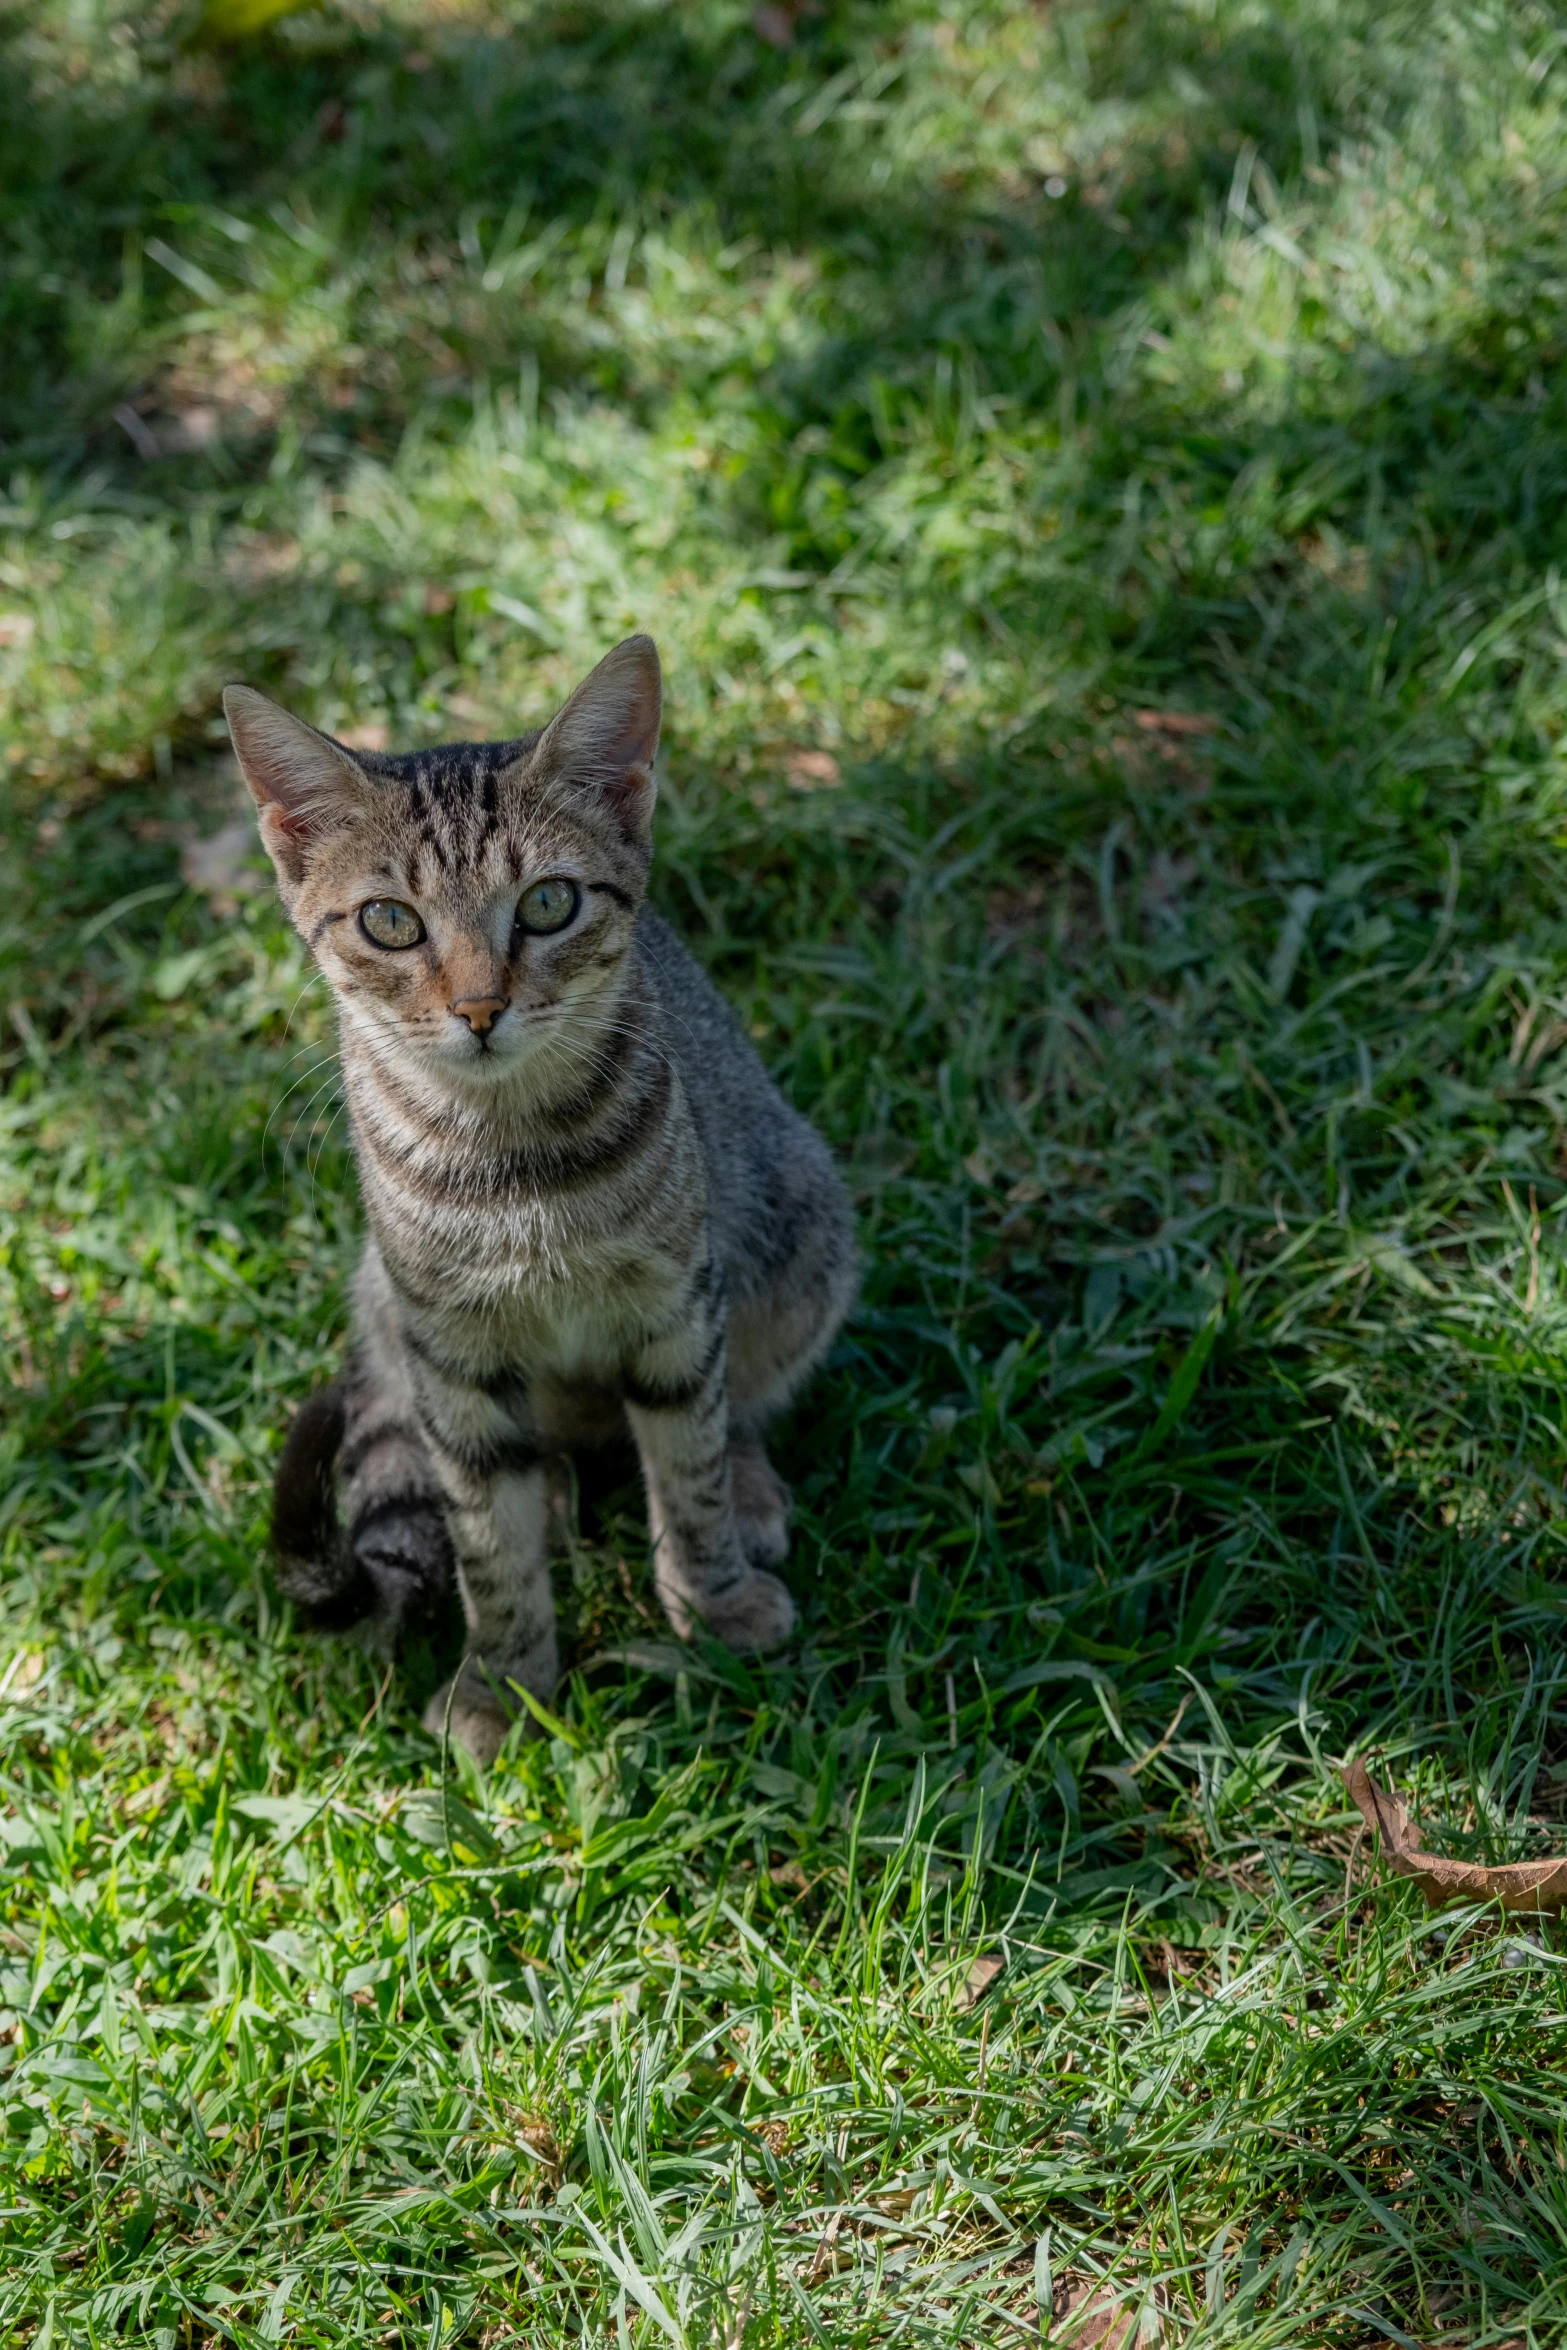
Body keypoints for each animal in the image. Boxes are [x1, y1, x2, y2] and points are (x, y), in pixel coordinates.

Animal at [225, 634, 859, 1757]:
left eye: (549, 903)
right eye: (390, 922)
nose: (480, 1008)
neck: (510, 1163)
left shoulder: (673, 1304)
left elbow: (688, 1463)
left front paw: (714, 1595)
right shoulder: (453, 1358)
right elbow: (489, 1544)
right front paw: (502, 1680)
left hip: (799, 1226)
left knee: (737, 1402)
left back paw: (743, 1488)